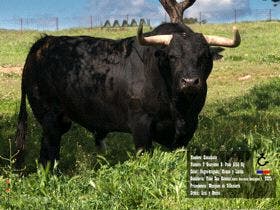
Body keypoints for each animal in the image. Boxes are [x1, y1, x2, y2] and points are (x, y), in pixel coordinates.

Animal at [14, 23, 240, 167]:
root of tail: (43, 43)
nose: (190, 82)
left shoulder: (189, 126)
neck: (177, 106)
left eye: (204, 56)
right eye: (172, 57)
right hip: (49, 117)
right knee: (48, 152)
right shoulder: (140, 125)